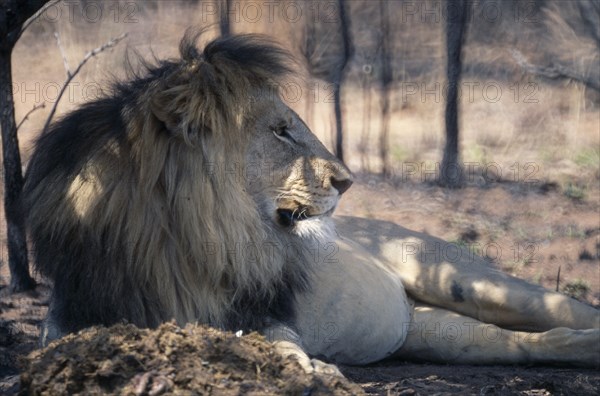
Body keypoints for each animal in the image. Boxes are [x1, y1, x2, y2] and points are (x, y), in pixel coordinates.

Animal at [24, 32, 600, 372]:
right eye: (281, 130)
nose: (347, 181)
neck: (185, 239)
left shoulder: (263, 311)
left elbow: (282, 343)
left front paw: (310, 371)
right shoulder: (73, 316)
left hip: (463, 277)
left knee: (560, 309)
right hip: (435, 331)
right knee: (523, 343)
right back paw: (580, 350)